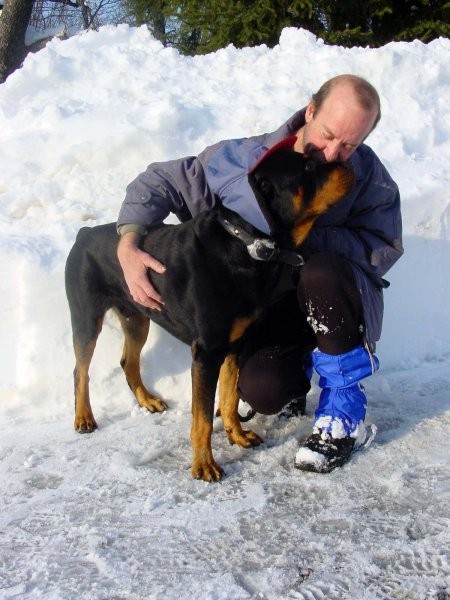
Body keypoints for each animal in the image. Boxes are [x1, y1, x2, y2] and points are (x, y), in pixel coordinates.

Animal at [65, 138, 354, 480]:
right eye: (307, 166)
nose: (349, 163)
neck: (248, 245)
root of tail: (83, 234)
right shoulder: (206, 352)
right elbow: (202, 417)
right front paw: (204, 464)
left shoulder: (236, 345)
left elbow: (229, 397)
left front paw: (237, 435)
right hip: (86, 316)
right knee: (80, 369)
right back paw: (84, 417)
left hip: (137, 315)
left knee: (128, 361)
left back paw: (148, 400)